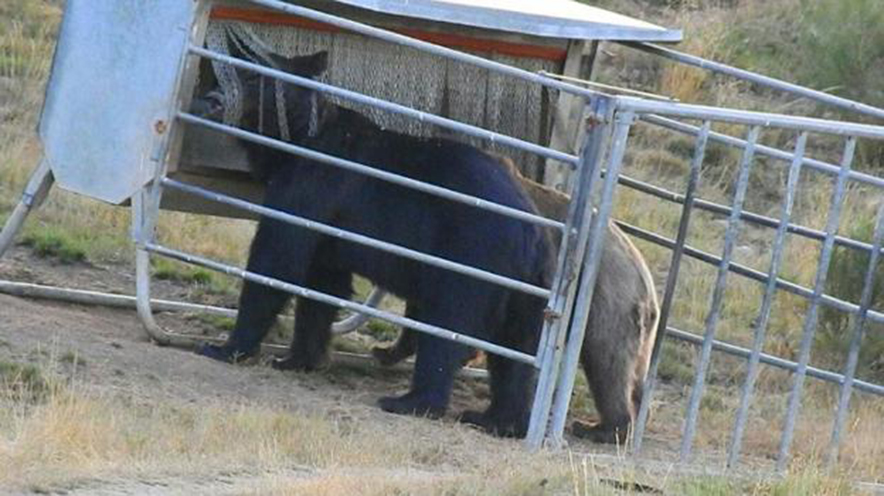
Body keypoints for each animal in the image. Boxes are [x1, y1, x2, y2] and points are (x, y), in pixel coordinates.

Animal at [194, 43, 552, 438]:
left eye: (252, 76)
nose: (212, 98)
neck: (296, 142)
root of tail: (531, 232)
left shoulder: (309, 185)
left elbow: (276, 260)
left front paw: (225, 347)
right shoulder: (328, 231)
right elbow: (321, 284)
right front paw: (296, 358)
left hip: (471, 257)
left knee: (446, 326)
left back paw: (410, 401)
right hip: (528, 290)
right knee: (515, 351)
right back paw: (497, 419)